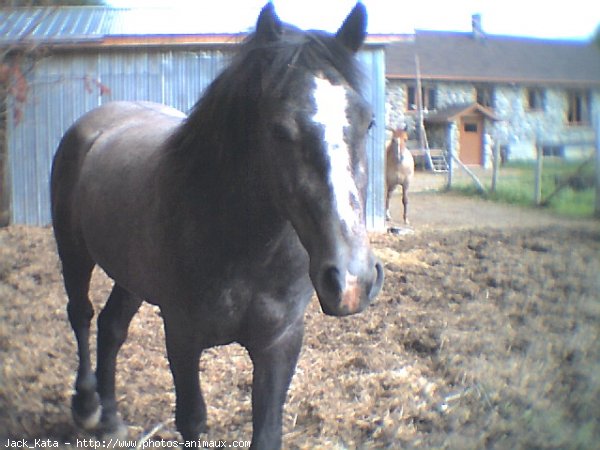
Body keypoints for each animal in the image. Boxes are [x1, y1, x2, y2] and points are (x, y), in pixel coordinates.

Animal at [49, 4, 382, 450]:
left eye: (368, 123)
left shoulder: (280, 342)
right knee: (82, 314)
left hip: (131, 275)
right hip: (74, 253)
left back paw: (112, 418)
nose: (351, 281)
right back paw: (87, 406)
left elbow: (267, 430)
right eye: (279, 129)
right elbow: (192, 419)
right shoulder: (182, 336)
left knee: (111, 326)